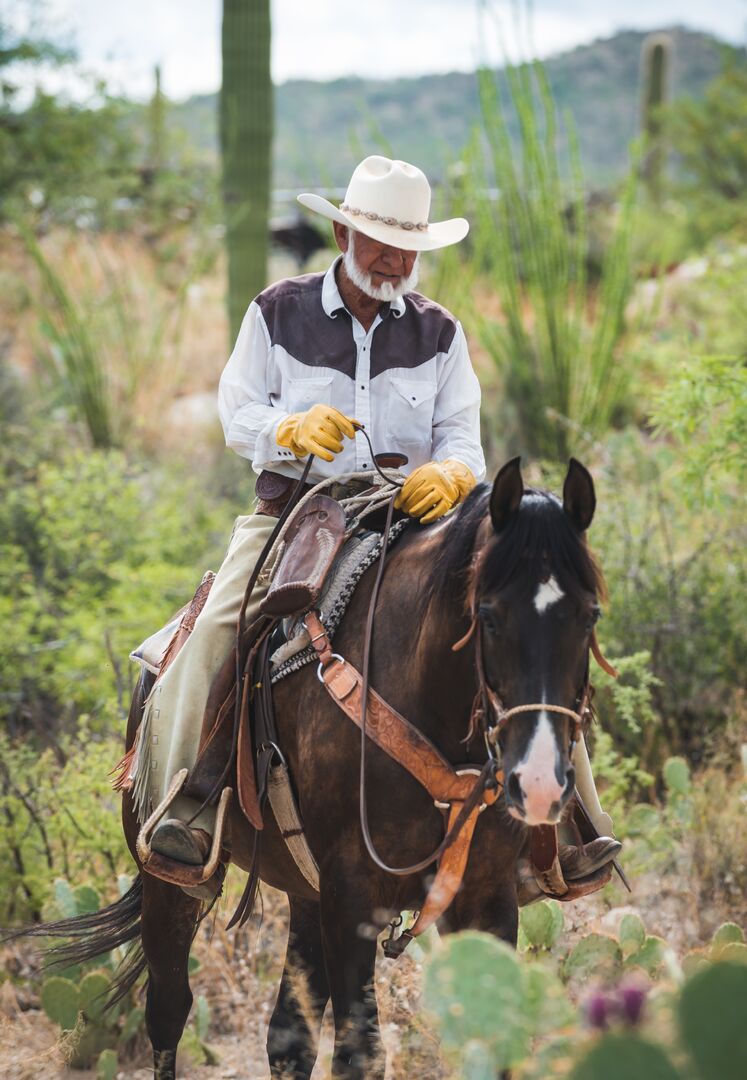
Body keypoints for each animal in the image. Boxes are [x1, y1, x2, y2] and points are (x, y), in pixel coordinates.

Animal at [21, 455, 608, 1080]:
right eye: (489, 616)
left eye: (590, 615)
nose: (540, 783)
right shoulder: (351, 896)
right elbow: (359, 1054)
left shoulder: (486, 893)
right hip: (171, 882)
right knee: (169, 1009)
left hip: (307, 891)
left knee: (288, 1035)